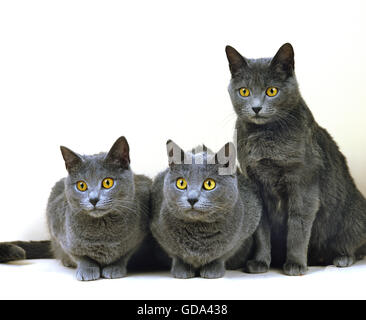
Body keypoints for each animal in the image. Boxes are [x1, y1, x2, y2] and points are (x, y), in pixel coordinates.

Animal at [47, 137, 152, 280]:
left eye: (107, 182)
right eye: (81, 185)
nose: (93, 199)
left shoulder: (137, 239)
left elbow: (124, 255)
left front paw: (114, 268)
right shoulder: (60, 233)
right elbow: (80, 256)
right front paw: (88, 269)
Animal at [150, 140, 268, 278]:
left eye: (209, 184)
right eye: (181, 183)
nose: (192, 199)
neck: (198, 232)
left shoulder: (245, 227)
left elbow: (223, 254)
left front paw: (213, 269)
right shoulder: (159, 231)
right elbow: (176, 254)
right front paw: (181, 270)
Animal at [224, 42, 366, 276]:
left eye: (272, 91)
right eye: (244, 91)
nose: (256, 107)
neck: (265, 138)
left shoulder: (303, 183)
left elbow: (298, 227)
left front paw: (296, 264)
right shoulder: (255, 185)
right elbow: (261, 230)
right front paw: (260, 262)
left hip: (353, 215)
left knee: (355, 245)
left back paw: (341, 257)